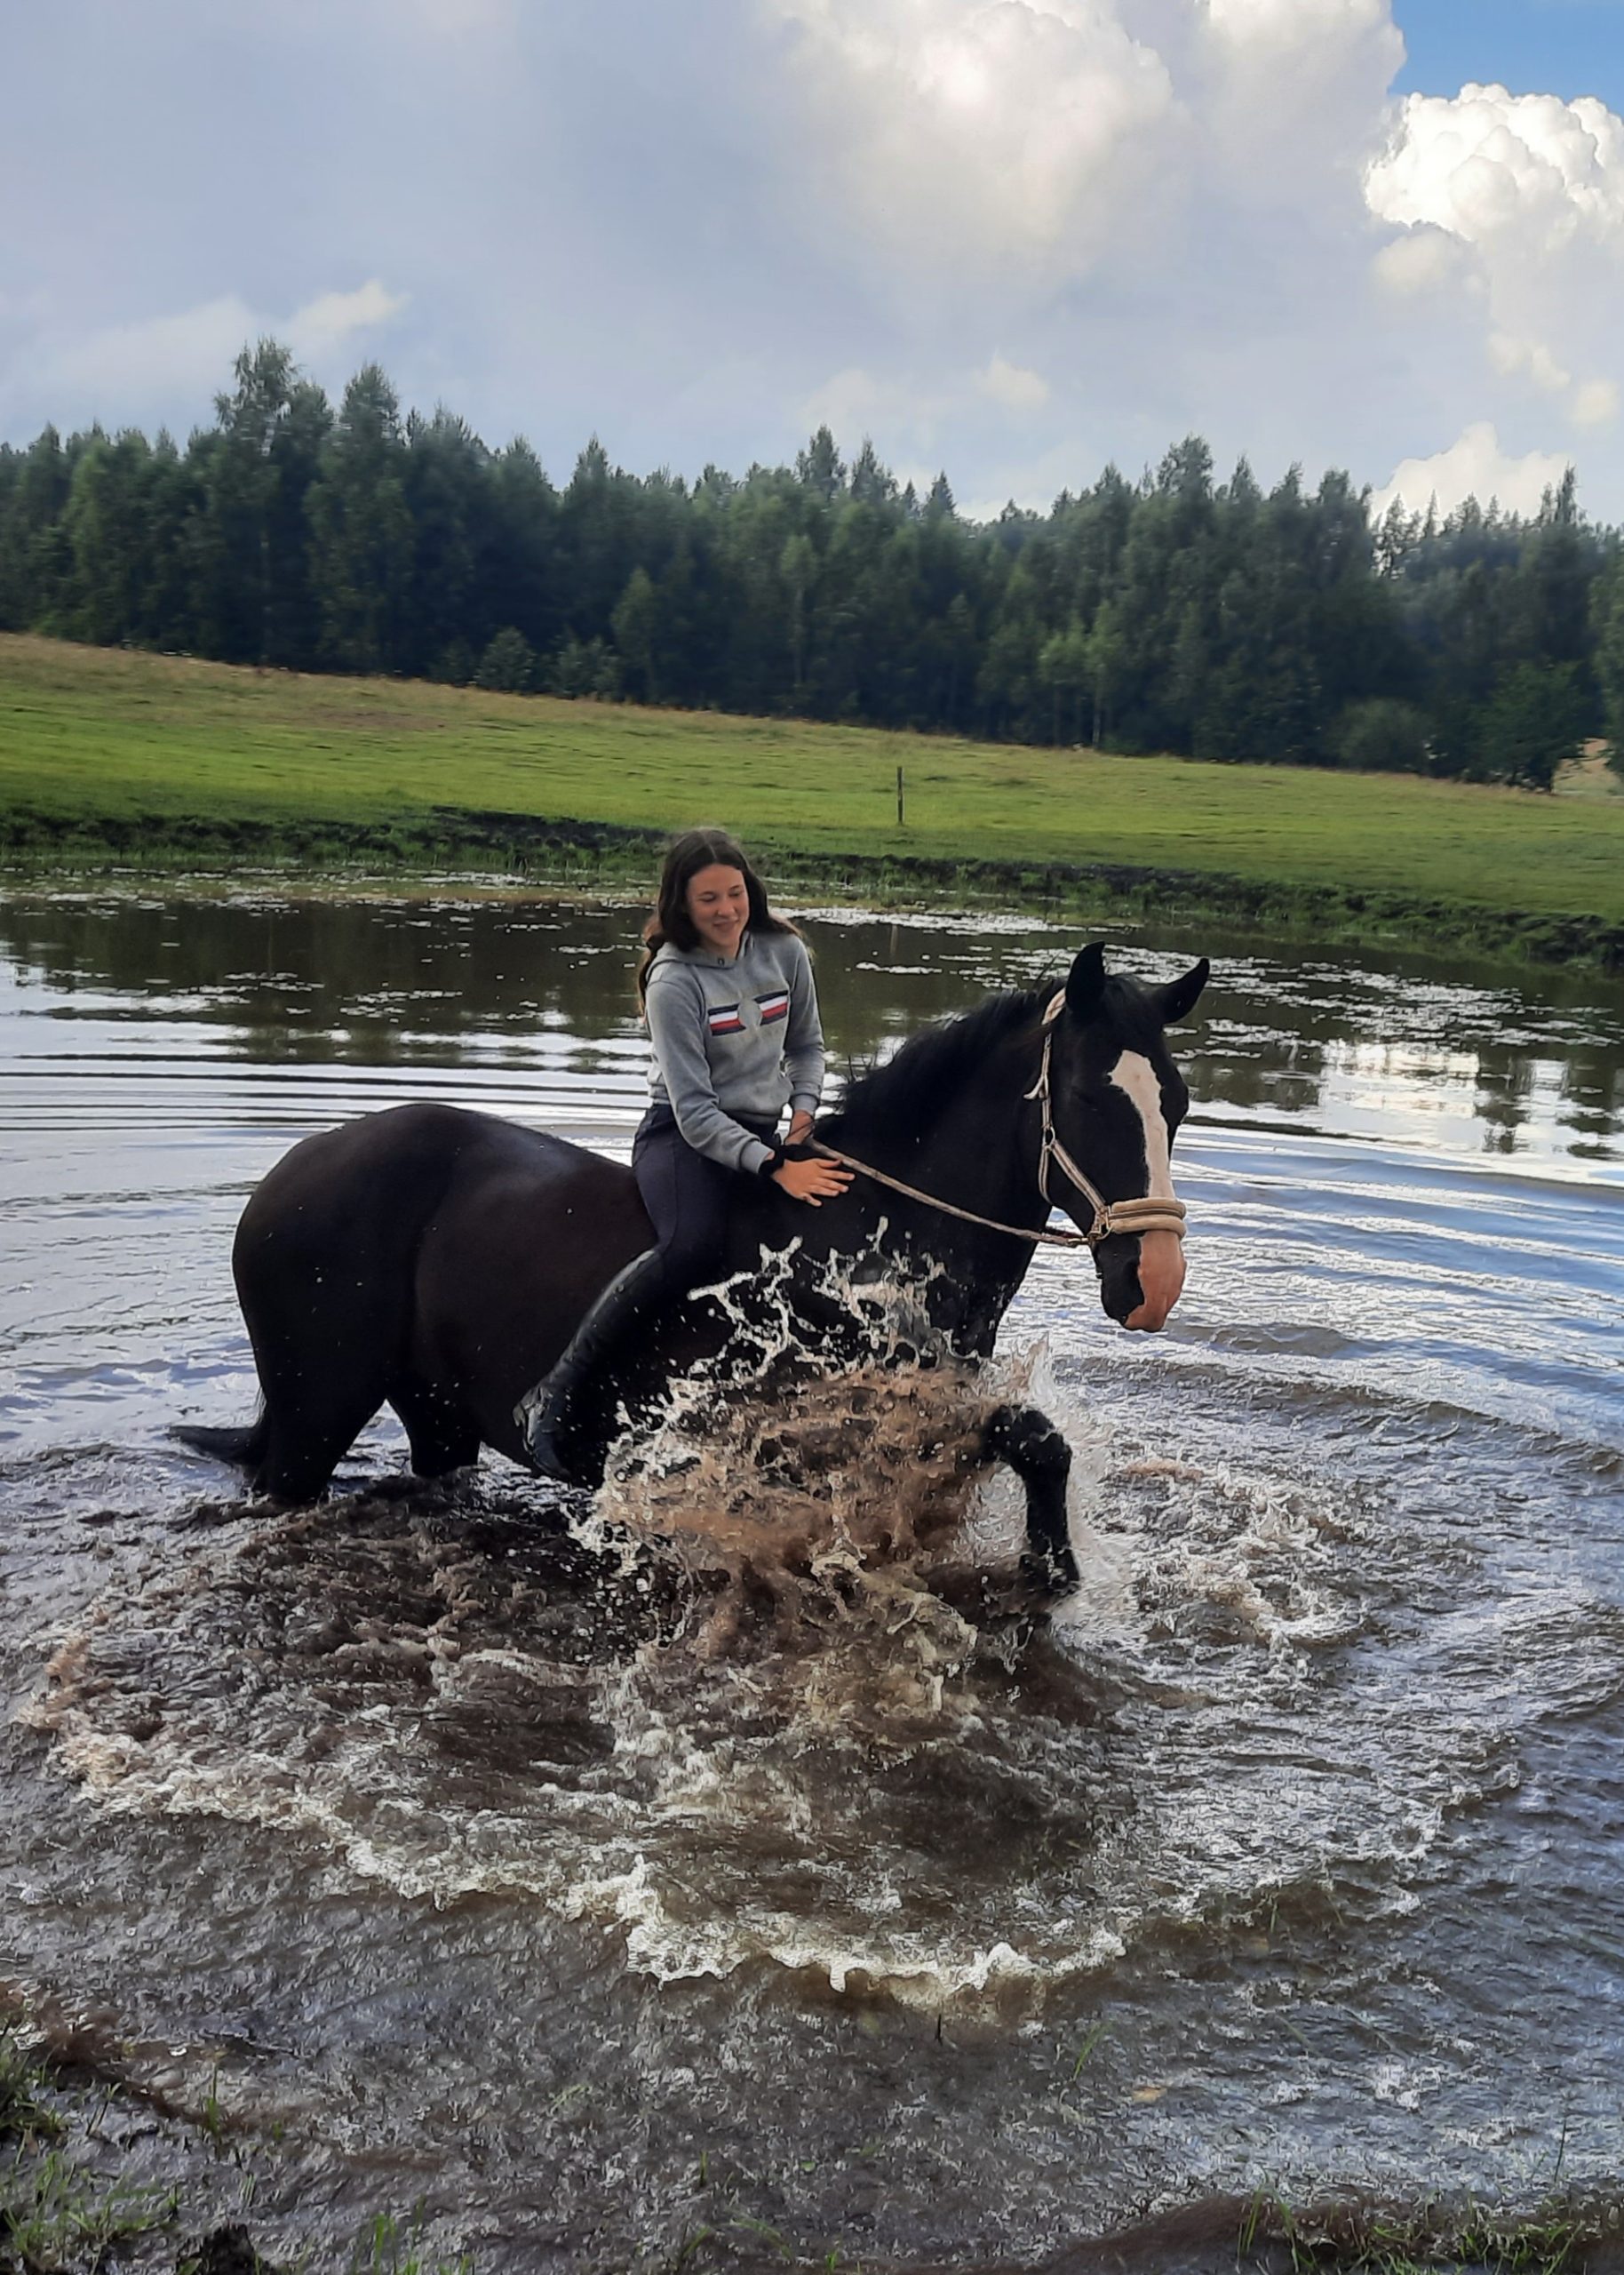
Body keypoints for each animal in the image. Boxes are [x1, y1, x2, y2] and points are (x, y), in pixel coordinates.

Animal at [181, 943, 1208, 1589]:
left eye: (1180, 1102)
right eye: (1090, 1096)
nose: (1153, 1282)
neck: (870, 1244)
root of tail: (297, 1167)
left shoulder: (910, 1428)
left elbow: (1037, 1439)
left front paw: (1052, 1569)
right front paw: (1051, 1569)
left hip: (434, 1412)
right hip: (314, 1415)